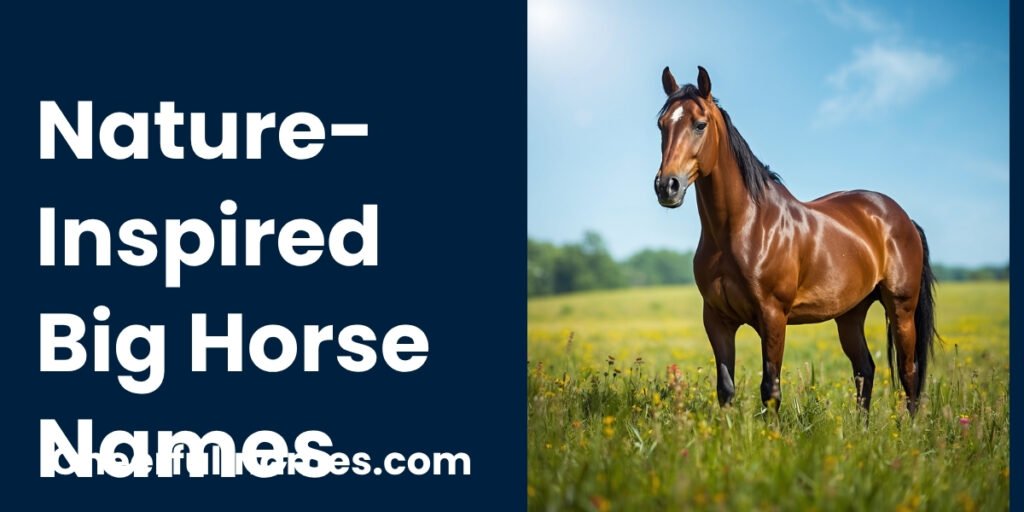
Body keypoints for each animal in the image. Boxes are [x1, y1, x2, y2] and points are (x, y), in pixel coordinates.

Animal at [653, 66, 937, 414]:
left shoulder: (773, 317)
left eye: (699, 124)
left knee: (910, 373)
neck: (743, 228)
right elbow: (726, 389)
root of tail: (902, 218)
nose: (667, 186)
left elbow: (770, 388)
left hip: (901, 308)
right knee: (864, 369)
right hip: (850, 314)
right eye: (662, 124)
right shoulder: (717, 319)